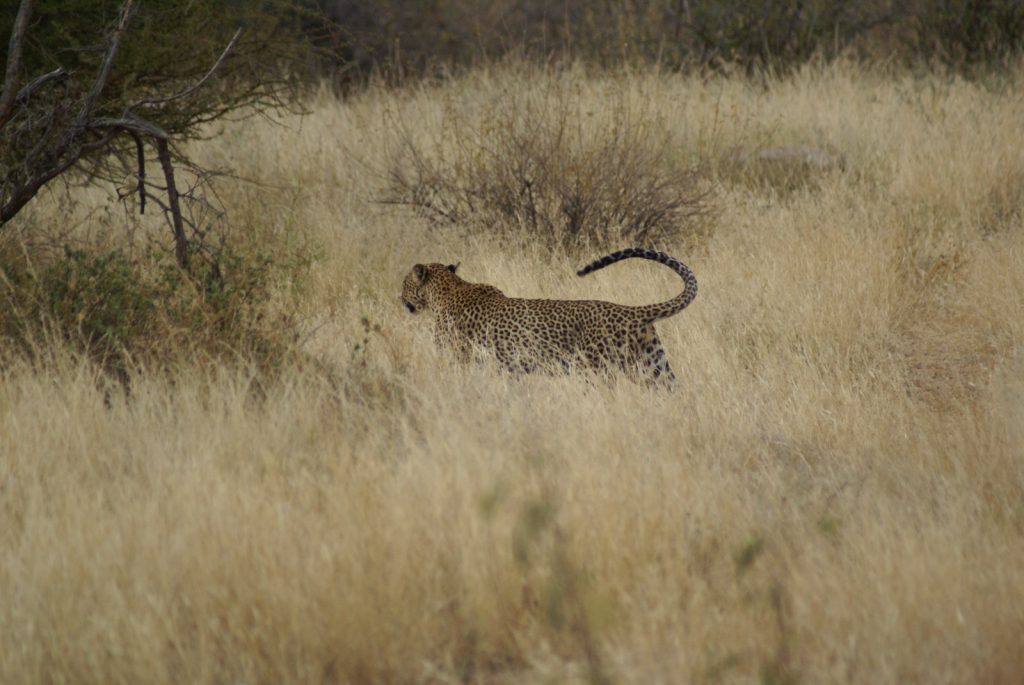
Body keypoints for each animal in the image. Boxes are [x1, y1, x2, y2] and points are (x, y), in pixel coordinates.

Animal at [399, 245, 696, 384]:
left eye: (404, 284)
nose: (399, 299)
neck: (448, 289)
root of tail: (632, 311)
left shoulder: (459, 359)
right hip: (656, 367)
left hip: (595, 370)